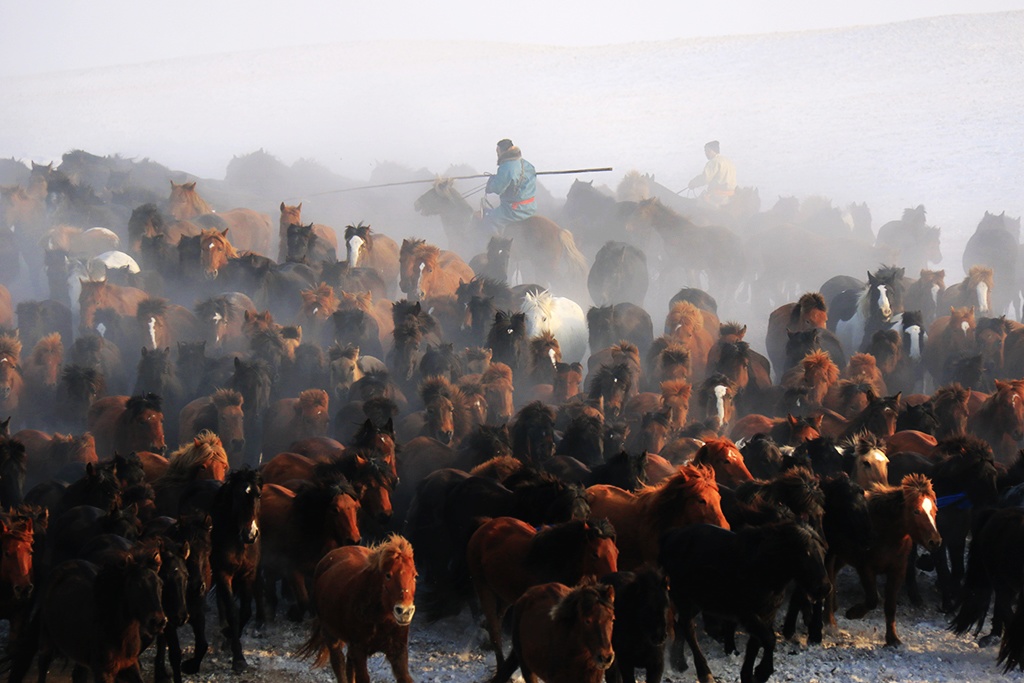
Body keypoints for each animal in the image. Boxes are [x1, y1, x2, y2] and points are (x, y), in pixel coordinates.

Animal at [299, 532, 415, 683]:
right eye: (388, 575)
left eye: (414, 575)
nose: (405, 611)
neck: (379, 618)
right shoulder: (359, 650)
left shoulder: (398, 652)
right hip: (331, 635)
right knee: (338, 663)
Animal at [468, 518, 618, 667]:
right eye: (595, 554)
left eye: (616, 552)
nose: (613, 579)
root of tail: (486, 525)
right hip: (484, 589)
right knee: (495, 630)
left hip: (505, 596)